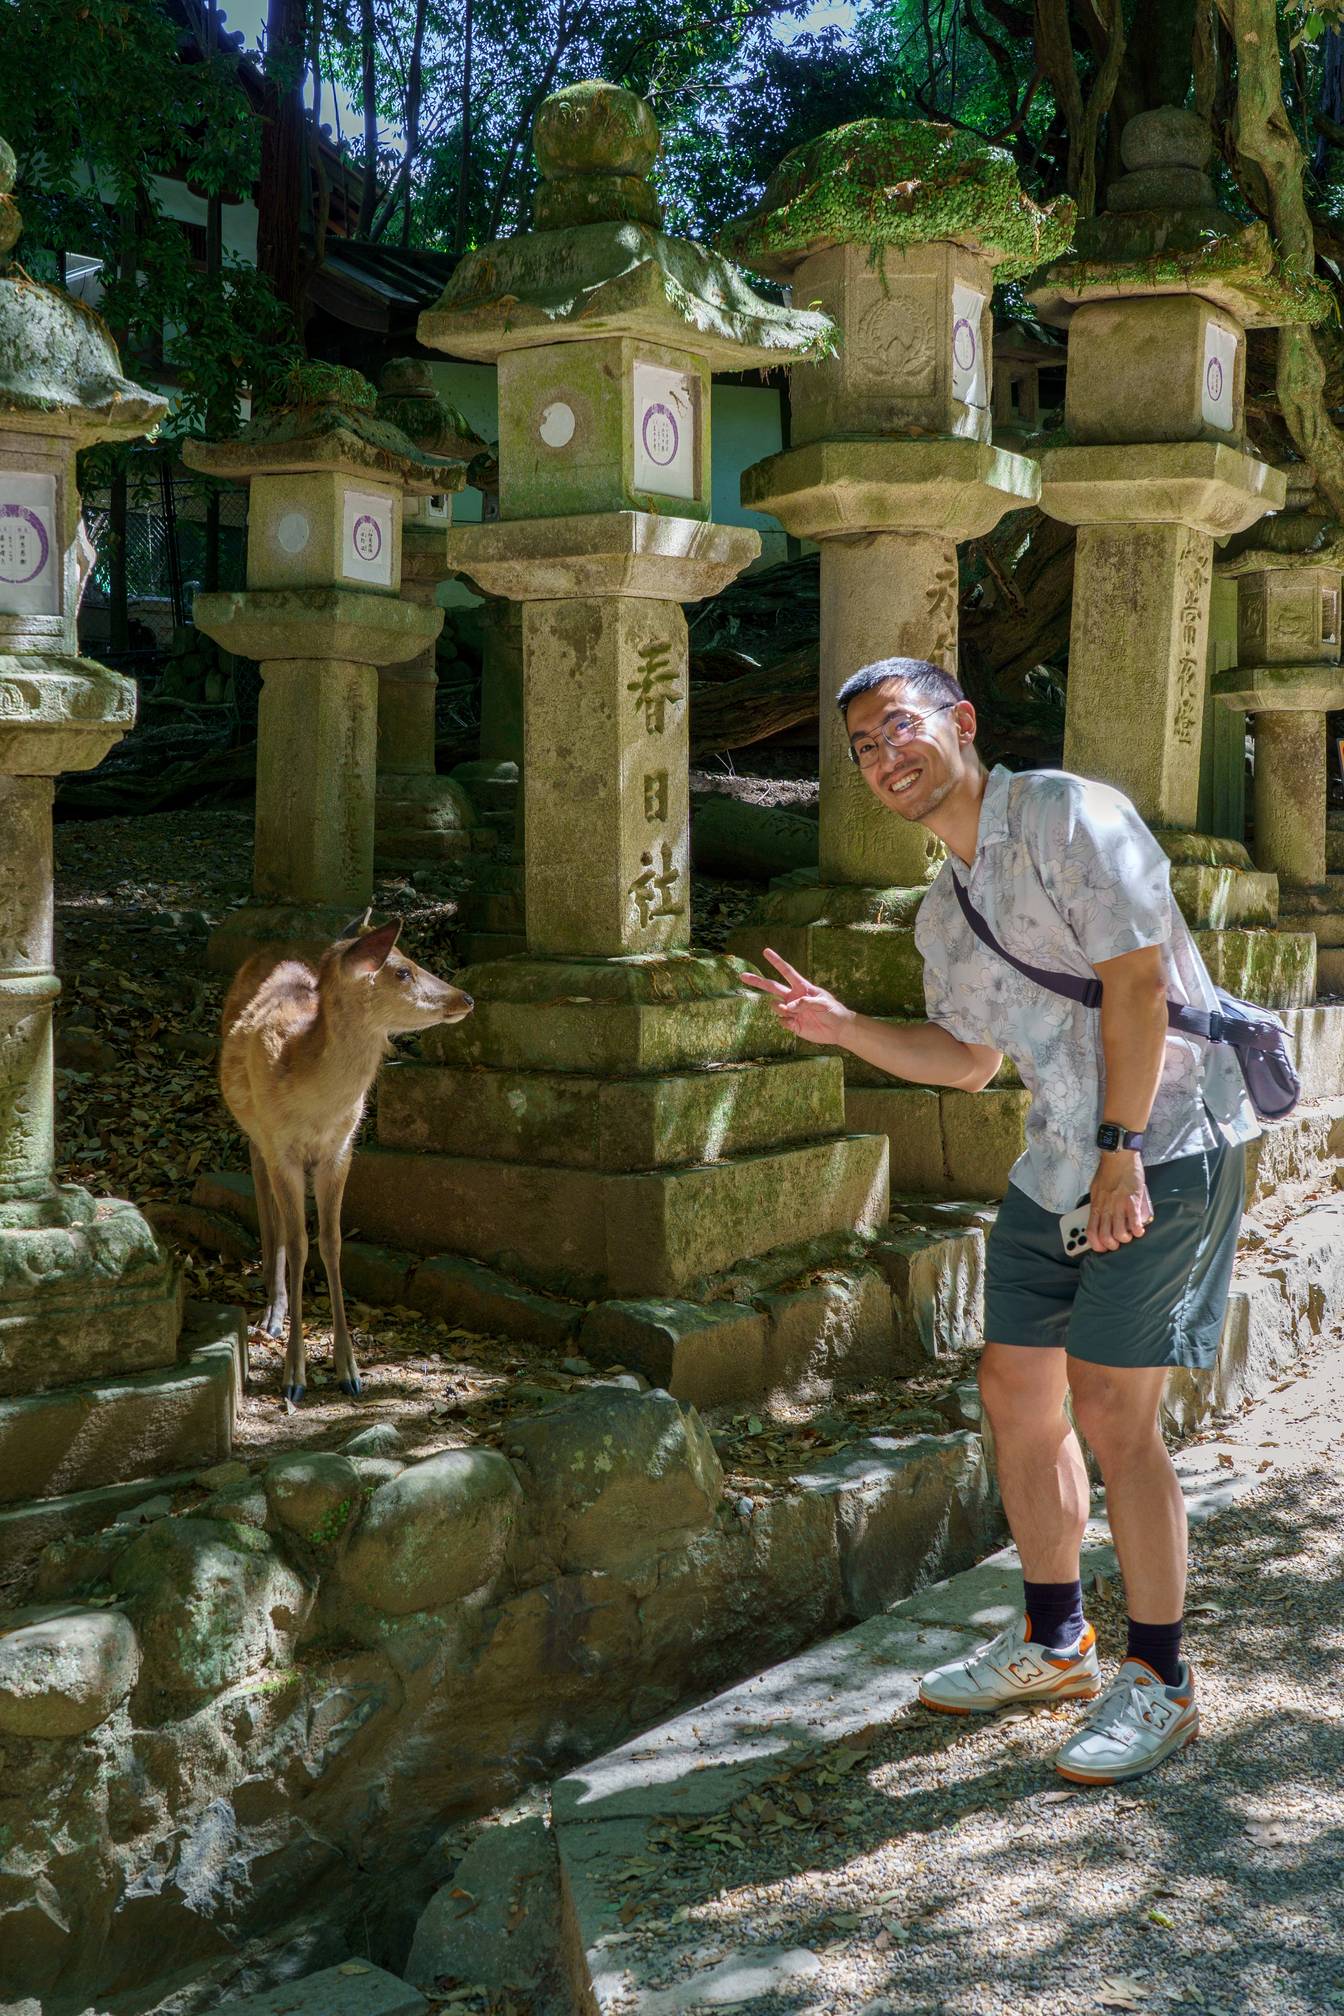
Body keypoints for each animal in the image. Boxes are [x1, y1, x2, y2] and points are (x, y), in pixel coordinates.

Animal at [219, 913, 473, 1404]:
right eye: (402, 970)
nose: (465, 998)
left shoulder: (341, 1149)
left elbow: (333, 1242)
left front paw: (349, 1371)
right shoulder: (283, 1146)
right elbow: (300, 1242)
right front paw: (294, 1377)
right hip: (256, 1130)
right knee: (264, 1193)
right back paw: (272, 1311)